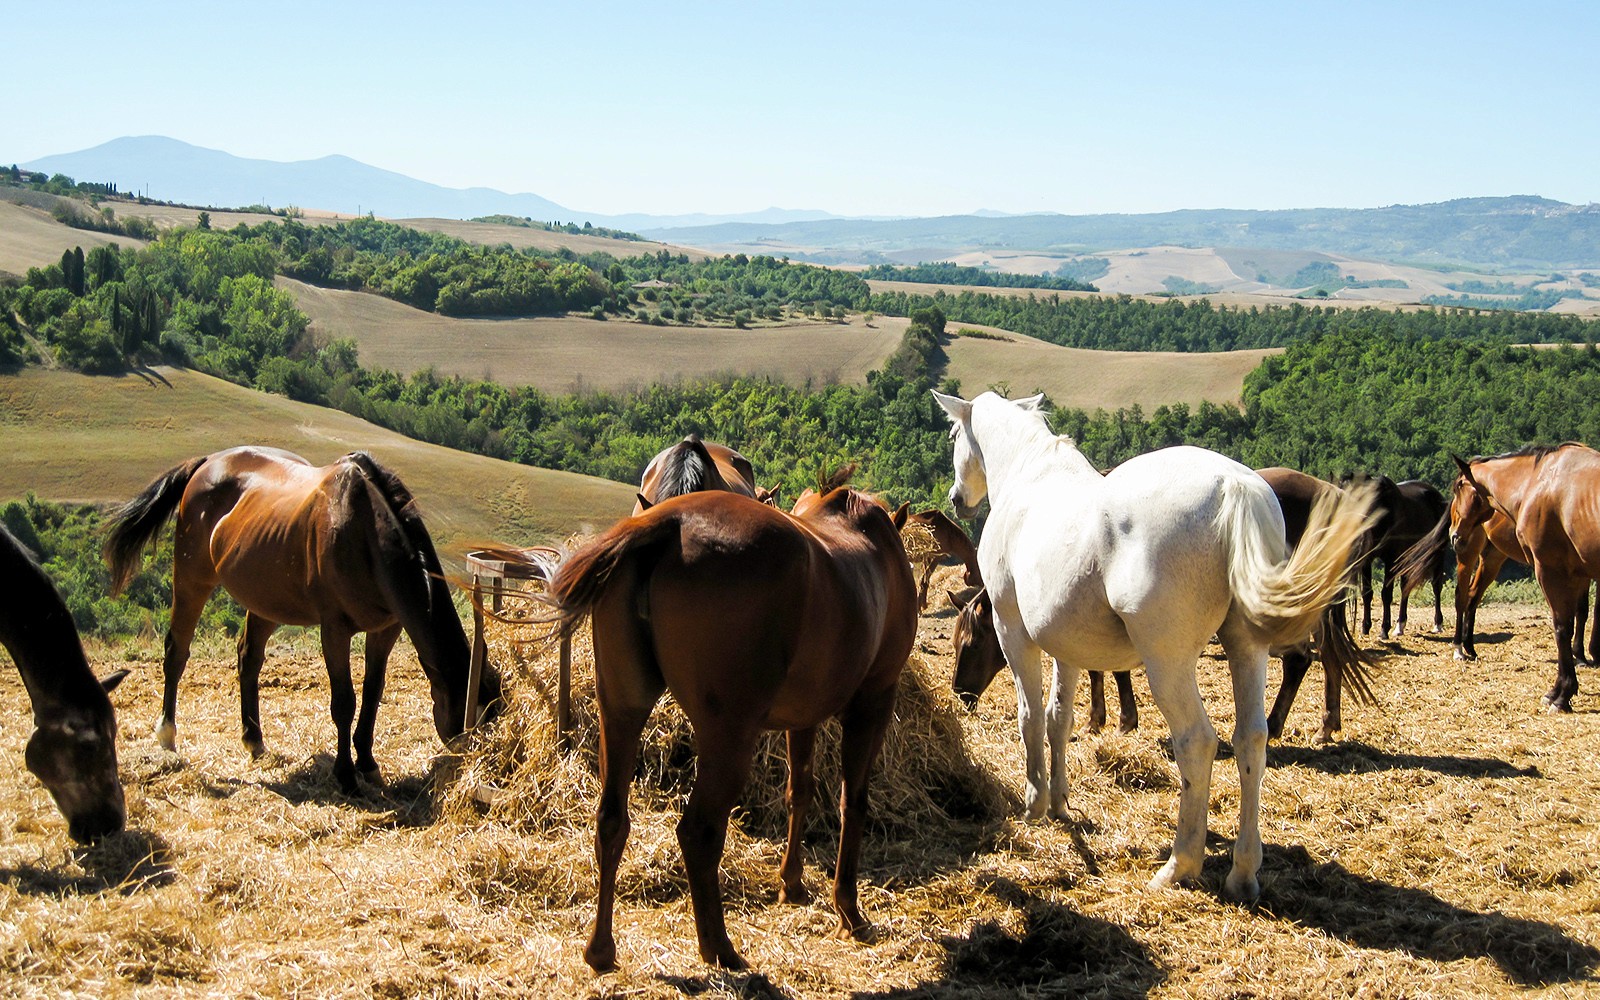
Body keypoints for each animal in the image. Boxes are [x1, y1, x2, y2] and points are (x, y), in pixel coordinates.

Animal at [103, 446, 502, 793]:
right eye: (474, 716)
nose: (483, 765)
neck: (365, 530)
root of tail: (207, 463)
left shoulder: (385, 629)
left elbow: (373, 693)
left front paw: (368, 763)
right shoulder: (335, 629)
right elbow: (344, 702)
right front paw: (346, 776)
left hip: (266, 600)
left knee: (248, 658)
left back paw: (254, 741)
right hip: (191, 581)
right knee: (177, 652)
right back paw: (167, 734)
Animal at [548, 474, 916, 971]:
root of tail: (670, 522)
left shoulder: (803, 716)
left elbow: (799, 791)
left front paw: (792, 883)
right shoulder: (873, 703)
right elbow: (852, 802)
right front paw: (848, 909)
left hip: (622, 710)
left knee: (611, 820)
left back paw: (601, 949)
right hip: (729, 737)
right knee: (698, 832)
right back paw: (718, 946)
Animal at [934, 390, 1373, 900]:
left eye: (953, 434)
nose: (957, 499)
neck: (1030, 475)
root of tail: (1234, 486)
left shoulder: (1014, 632)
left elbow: (1031, 718)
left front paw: (1035, 804)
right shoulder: (1066, 646)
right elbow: (1059, 719)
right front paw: (1061, 803)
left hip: (1168, 665)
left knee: (1198, 743)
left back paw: (1179, 865)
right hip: (1247, 651)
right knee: (1251, 740)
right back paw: (1243, 872)